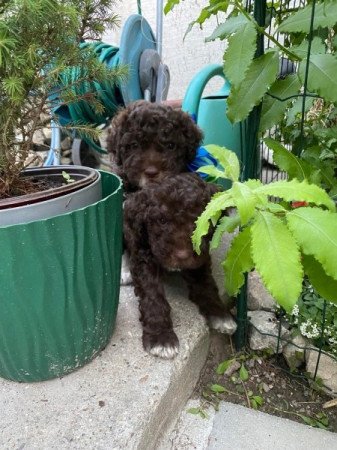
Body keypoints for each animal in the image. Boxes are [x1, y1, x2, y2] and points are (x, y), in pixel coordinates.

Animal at [123, 172, 236, 358]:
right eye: (162, 220)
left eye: (199, 220)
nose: (182, 256)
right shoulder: (143, 256)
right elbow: (152, 295)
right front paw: (161, 337)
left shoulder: (200, 257)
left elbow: (206, 285)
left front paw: (219, 313)